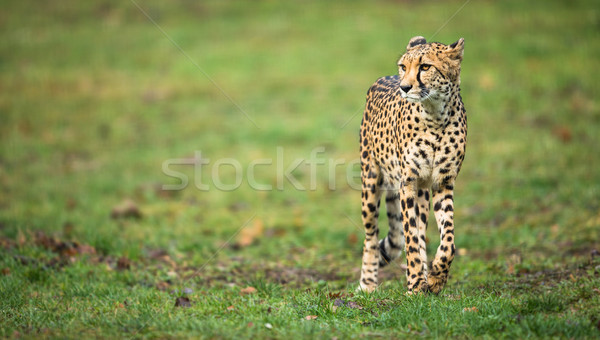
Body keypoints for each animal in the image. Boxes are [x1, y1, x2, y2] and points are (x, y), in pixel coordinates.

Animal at [358, 35, 466, 294]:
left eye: (425, 67)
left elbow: (448, 239)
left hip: (423, 193)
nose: (404, 87)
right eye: (403, 66)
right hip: (371, 181)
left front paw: (436, 277)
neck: (436, 116)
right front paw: (416, 284)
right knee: (371, 236)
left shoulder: (443, 182)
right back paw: (368, 283)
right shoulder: (407, 183)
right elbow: (410, 237)